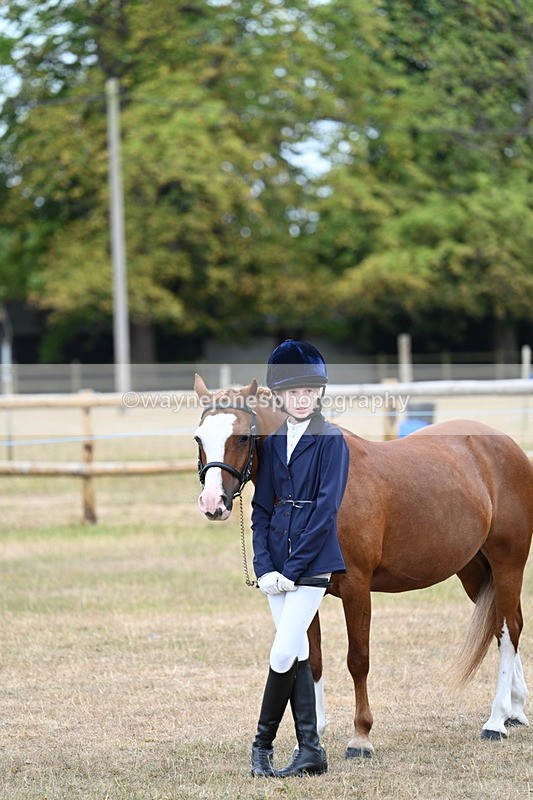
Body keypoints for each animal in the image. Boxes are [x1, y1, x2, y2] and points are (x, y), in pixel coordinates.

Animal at [193, 373, 533, 756]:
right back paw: (515, 711)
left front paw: (361, 737)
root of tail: (507, 445)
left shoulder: (357, 588)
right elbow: (312, 659)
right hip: (475, 572)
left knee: (507, 631)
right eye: (199, 438)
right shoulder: (304, 587)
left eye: (241, 437)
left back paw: (496, 720)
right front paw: (313, 734)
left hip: (508, 563)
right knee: (508, 624)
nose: (213, 504)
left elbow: (358, 659)